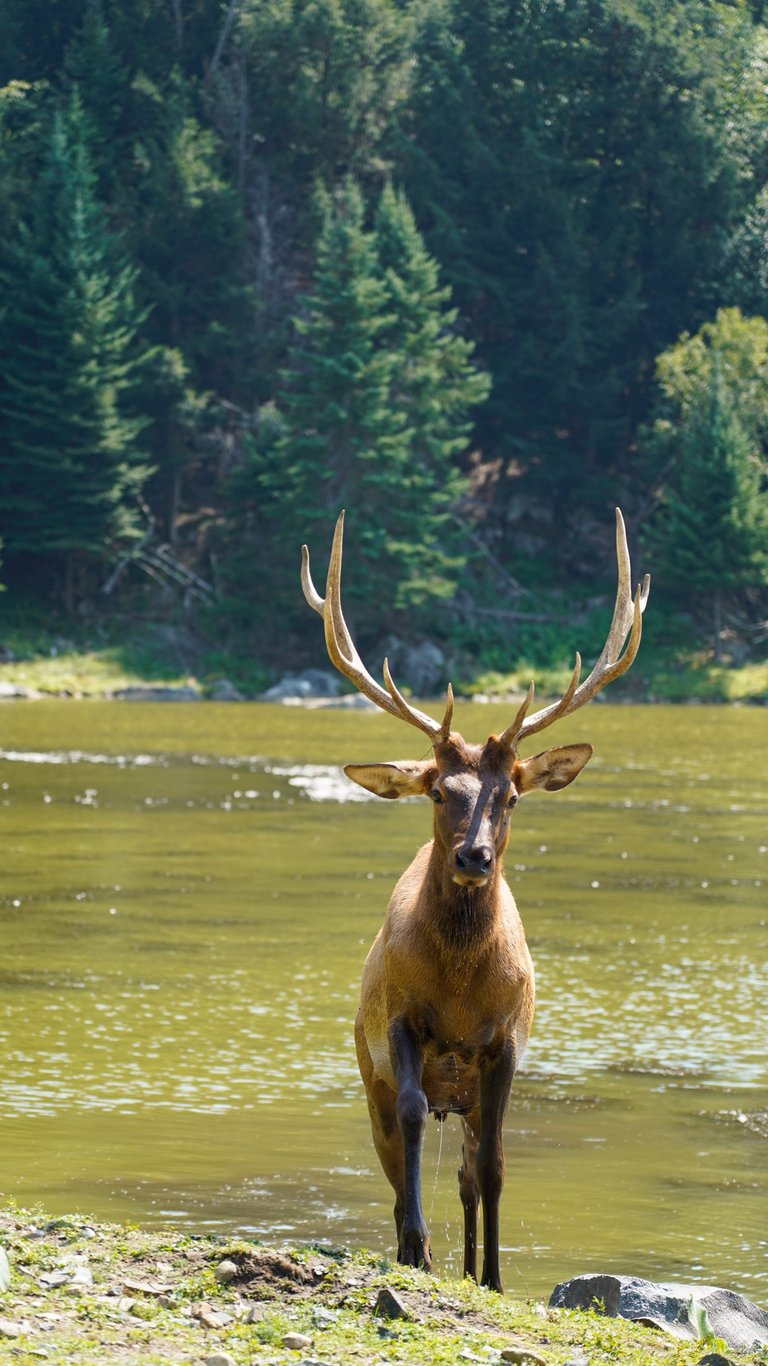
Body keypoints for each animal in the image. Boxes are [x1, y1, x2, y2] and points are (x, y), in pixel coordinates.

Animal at [300, 509, 650, 1293]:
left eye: (511, 796)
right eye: (438, 791)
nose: (473, 856)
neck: (460, 989)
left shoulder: (506, 1041)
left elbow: (492, 1166)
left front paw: (492, 1276)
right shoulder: (399, 1024)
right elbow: (406, 1127)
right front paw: (414, 1248)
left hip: (460, 1092)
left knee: (464, 1173)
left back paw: (464, 1264)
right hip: (370, 1065)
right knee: (397, 1155)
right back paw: (422, 1248)